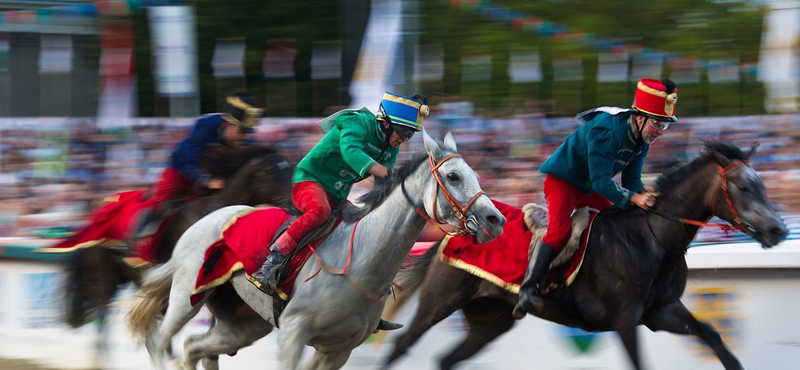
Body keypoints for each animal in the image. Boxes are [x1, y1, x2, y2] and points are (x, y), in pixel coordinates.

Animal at [129, 131, 510, 370]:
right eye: (453, 177)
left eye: (476, 175)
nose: (496, 220)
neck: (361, 265)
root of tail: (199, 223)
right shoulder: (293, 333)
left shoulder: (337, 349)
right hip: (186, 297)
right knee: (159, 343)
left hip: (242, 325)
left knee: (195, 348)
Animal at [382, 140, 788, 368]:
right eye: (743, 186)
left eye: (763, 185)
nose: (778, 229)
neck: (652, 239)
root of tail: (456, 227)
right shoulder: (625, 319)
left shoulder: (662, 312)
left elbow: (715, 337)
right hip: (439, 302)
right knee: (399, 347)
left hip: (489, 320)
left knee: (447, 359)